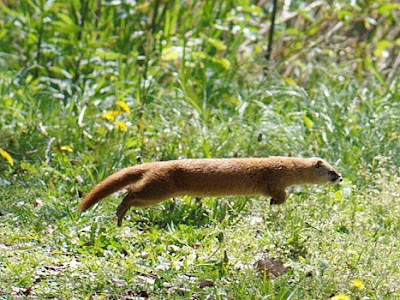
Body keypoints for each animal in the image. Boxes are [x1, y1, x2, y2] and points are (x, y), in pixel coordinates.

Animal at [78, 157, 340, 225]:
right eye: (331, 171)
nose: (341, 177)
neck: (288, 167)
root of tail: (158, 164)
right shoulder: (273, 178)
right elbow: (279, 194)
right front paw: (275, 202)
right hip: (159, 189)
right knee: (133, 192)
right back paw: (121, 212)